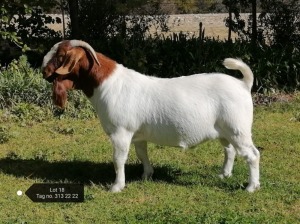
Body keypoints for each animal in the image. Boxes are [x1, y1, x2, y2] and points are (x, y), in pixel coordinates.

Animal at [42, 39, 260, 192]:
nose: (43, 71)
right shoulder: (137, 134)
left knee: (252, 155)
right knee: (230, 151)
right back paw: (224, 175)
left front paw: (116, 187)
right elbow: (141, 154)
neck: (109, 85)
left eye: (60, 55)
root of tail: (243, 84)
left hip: (238, 128)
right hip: (225, 131)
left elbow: (118, 159)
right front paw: (146, 175)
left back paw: (251, 187)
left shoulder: (121, 133)